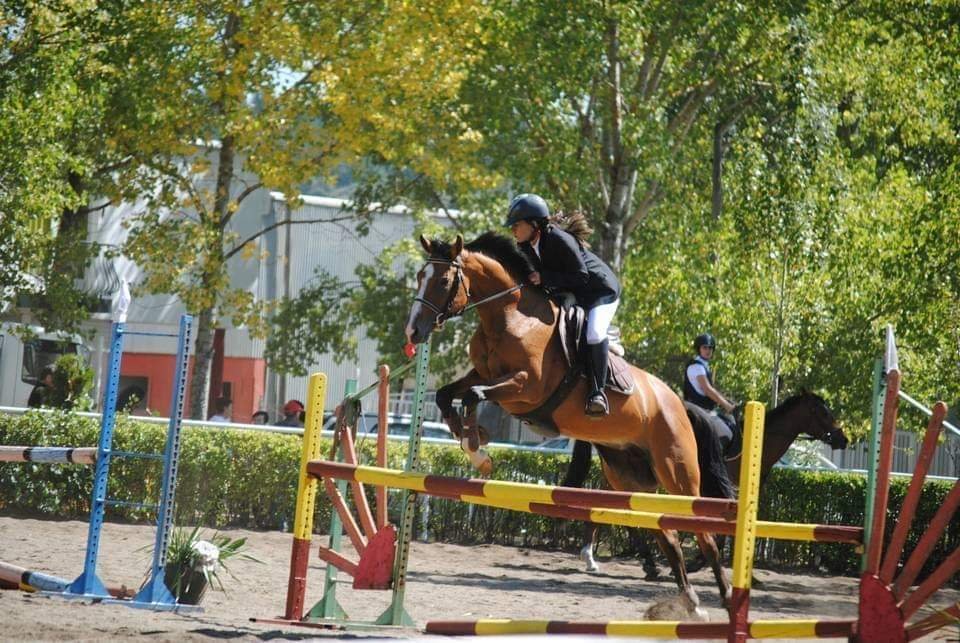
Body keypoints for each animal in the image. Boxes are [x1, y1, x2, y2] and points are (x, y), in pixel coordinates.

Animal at [404, 232, 732, 611]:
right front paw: (472, 440)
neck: (508, 316)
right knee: (668, 534)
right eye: (419, 276)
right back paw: (689, 600)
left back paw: (725, 597)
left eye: (443, 281)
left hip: (677, 472)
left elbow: (473, 395)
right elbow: (447, 394)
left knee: (703, 533)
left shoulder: (525, 387)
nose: (413, 332)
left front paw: (477, 447)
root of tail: (677, 401)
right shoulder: (484, 376)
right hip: (628, 477)